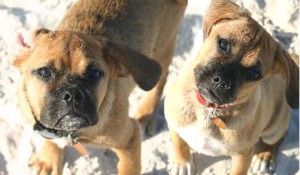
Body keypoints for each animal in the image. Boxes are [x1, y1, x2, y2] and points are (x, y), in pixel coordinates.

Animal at [10, 0, 188, 174]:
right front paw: (48, 159)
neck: (70, 132)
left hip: (162, 47)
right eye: (44, 72)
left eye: (95, 73)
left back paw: (147, 114)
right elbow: (50, 137)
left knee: (161, 79)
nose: (72, 94)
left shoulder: (130, 139)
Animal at [165, 0, 298, 175]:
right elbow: (179, 143)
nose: (222, 81)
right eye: (222, 44)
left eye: (254, 73)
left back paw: (264, 156)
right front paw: (182, 163)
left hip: (275, 127)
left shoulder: (243, 155)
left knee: (277, 138)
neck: (209, 109)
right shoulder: (173, 123)